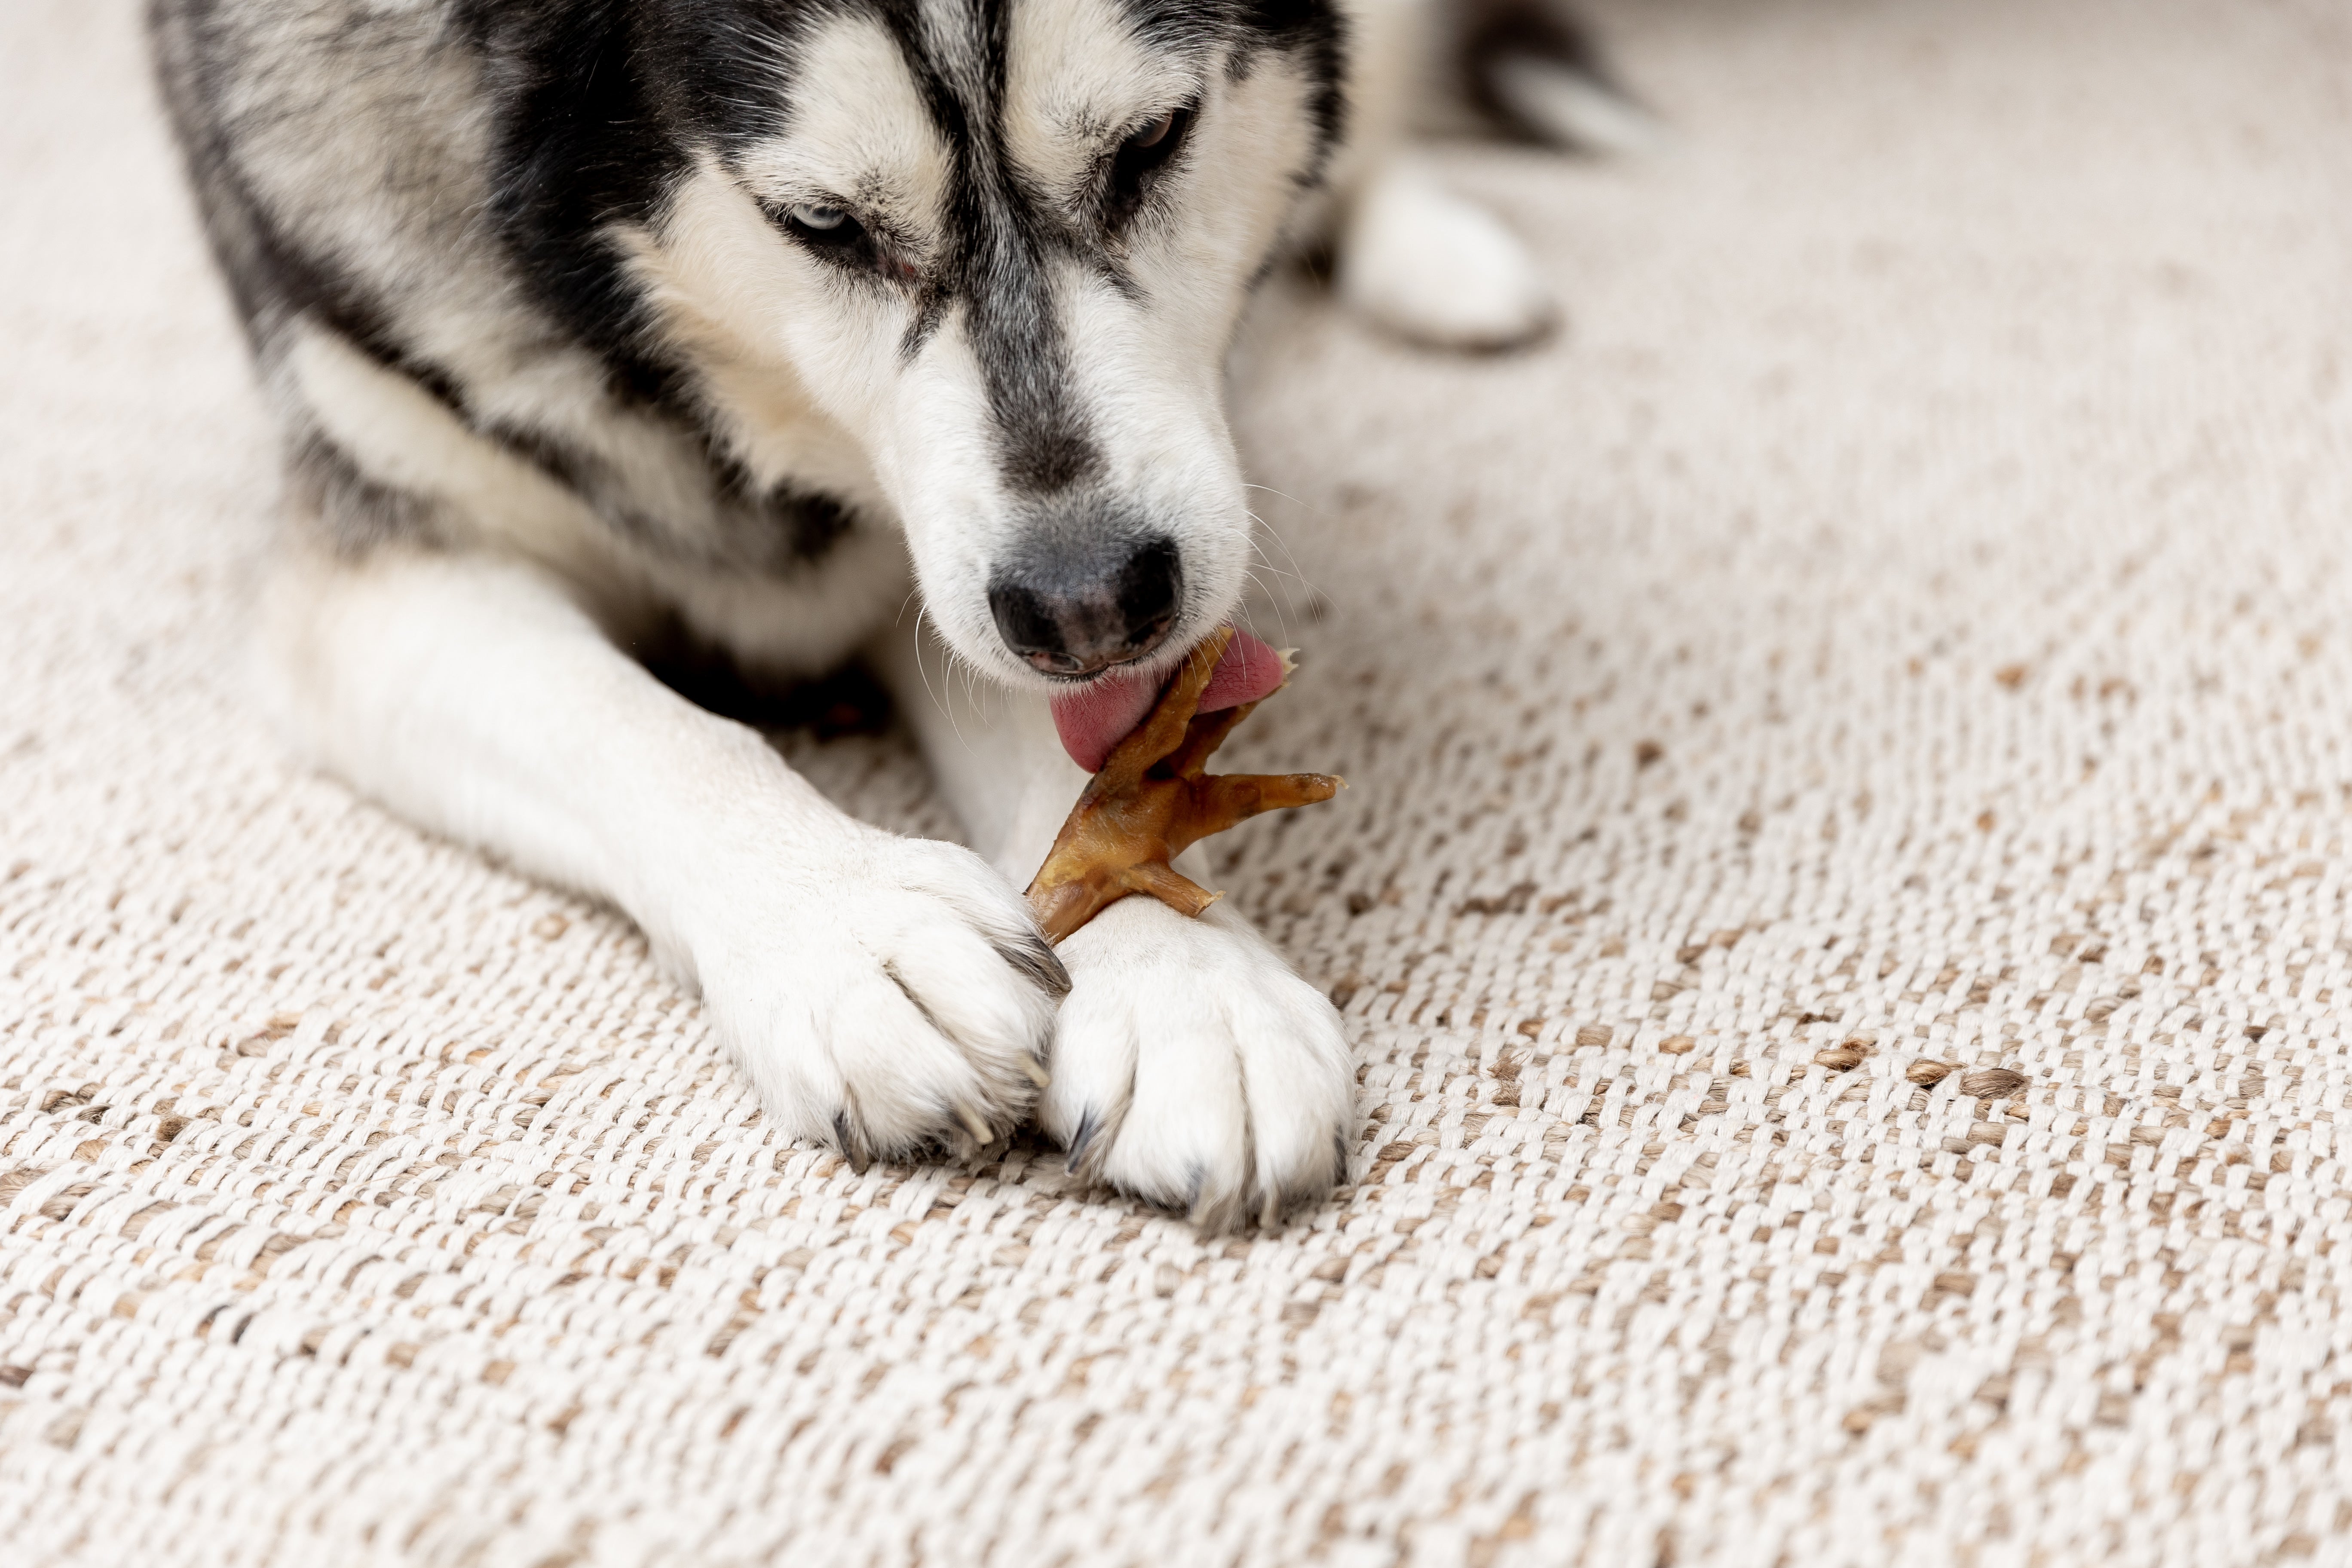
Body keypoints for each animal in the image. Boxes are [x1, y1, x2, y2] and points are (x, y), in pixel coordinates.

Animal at [151, 0, 1637, 1222]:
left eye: (1154, 143)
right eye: (822, 224)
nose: (1094, 609)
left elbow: (1094, 766)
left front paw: (1176, 973)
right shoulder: (389, 564)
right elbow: (637, 723)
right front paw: (847, 929)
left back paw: (1440, 254)